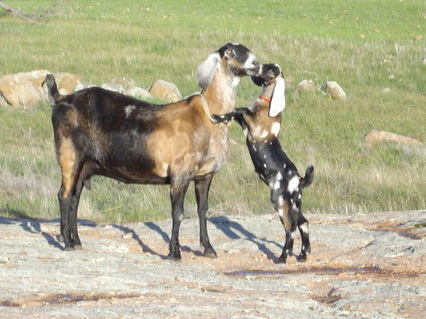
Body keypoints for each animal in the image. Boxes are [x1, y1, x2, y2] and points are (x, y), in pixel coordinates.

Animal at [46, 43, 260, 260]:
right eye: (229, 53)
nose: (256, 64)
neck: (208, 115)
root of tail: (60, 99)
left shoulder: (205, 175)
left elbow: (203, 210)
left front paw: (208, 248)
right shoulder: (180, 173)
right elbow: (178, 214)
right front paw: (174, 253)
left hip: (84, 167)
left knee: (74, 199)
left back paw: (77, 241)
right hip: (69, 156)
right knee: (64, 195)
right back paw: (67, 243)